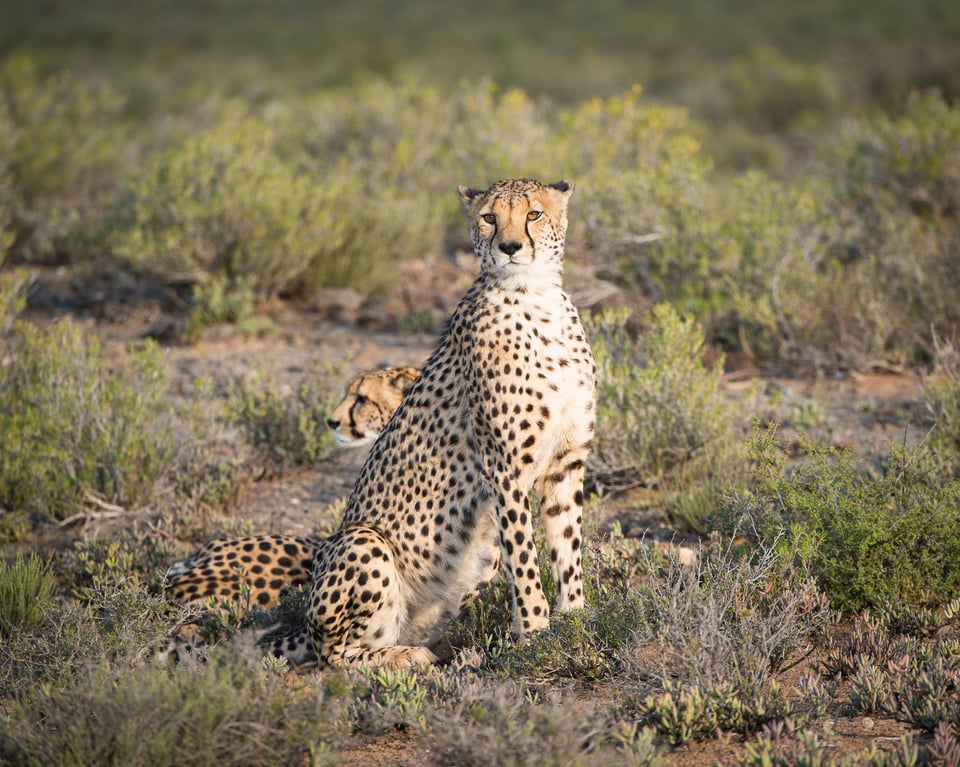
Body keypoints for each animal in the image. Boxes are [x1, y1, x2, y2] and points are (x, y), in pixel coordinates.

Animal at [169, 180, 596, 672]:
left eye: (533, 214)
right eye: (489, 217)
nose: (509, 247)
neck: (535, 296)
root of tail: (303, 626)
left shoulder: (566, 463)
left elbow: (567, 549)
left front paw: (576, 622)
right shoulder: (505, 470)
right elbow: (526, 562)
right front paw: (536, 634)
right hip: (362, 541)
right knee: (335, 654)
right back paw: (405, 657)